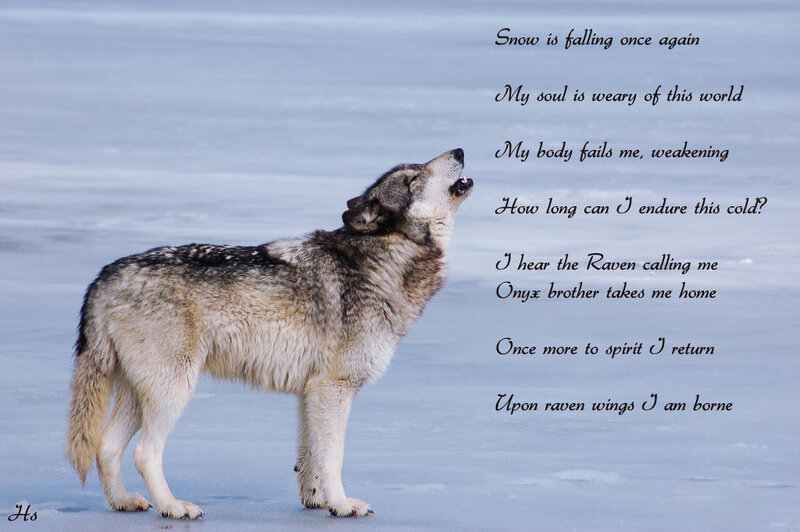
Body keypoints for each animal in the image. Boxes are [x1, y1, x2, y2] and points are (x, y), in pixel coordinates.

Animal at [65, 149, 473, 519]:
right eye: (413, 178)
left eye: (417, 167)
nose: (459, 151)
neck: (383, 259)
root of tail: (105, 275)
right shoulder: (333, 388)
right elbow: (334, 456)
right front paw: (342, 505)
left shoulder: (310, 393)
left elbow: (310, 458)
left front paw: (317, 501)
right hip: (173, 390)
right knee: (144, 453)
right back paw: (174, 507)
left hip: (141, 394)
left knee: (106, 446)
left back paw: (123, 502)